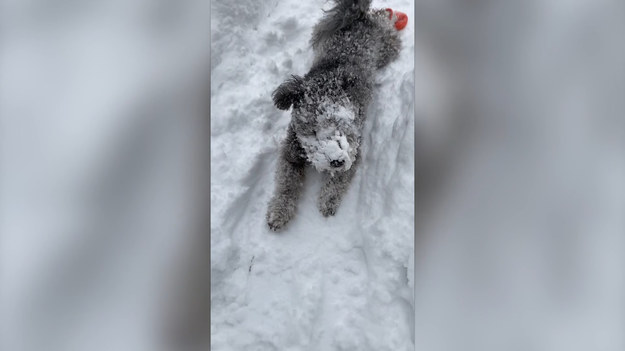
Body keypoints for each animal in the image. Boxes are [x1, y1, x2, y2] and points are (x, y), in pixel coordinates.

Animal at [266, 0, 402, 232]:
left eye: (344, 123)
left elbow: (339, 182)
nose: (337, 161)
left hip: (385, 49)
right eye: (312, 130)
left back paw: (390, 18)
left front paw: (327, 201)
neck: (325, 83)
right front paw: (279, 211)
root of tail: (357, 16)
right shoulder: (290, 152)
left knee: (386, 27)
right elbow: (286, 182)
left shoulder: (354, 151)